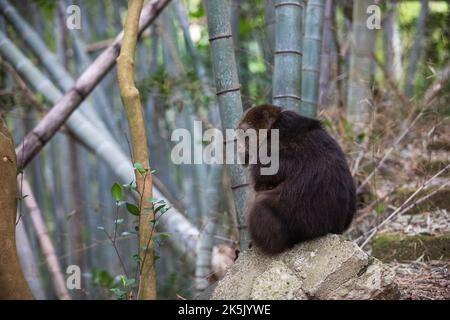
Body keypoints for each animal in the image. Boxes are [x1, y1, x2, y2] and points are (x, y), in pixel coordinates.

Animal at [237, 105, 356, 255]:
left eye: (245, 135)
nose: (239, 147)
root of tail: (330, 229)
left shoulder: (268, 147)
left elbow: (263, 173)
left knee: (260, 207)